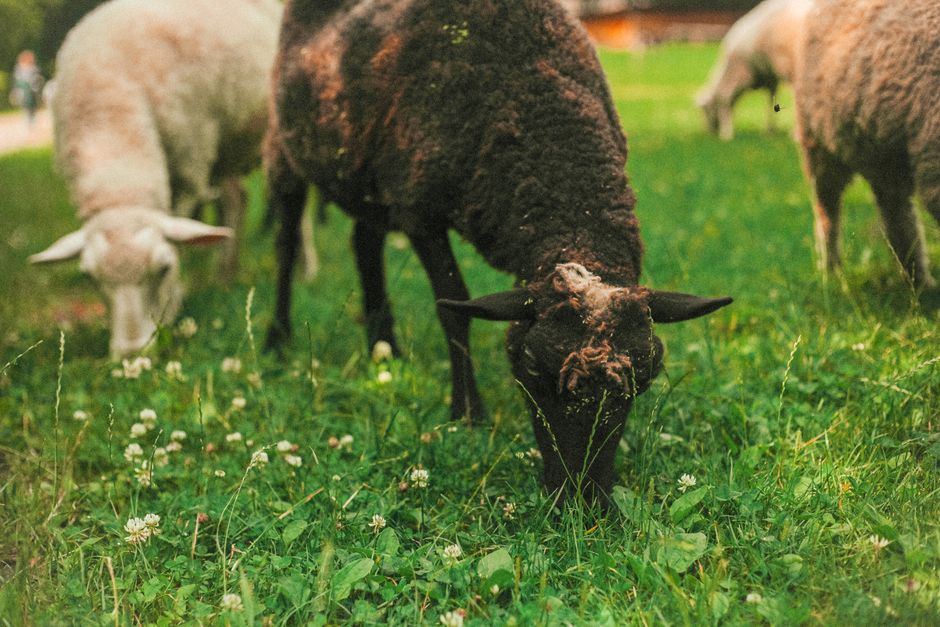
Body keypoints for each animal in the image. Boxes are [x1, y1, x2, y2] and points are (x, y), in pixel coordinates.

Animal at [28, 0, 283, 358]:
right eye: (89, 277)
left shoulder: (188, 169)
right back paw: (224, 275)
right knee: (236, 201)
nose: (132, 353)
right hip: (222, 151)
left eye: (163, 268)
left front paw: (172, 303)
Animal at [265, 0, 732, 502]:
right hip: (284, 147)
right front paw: (467, 413)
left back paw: (384, 351)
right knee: (286, 243)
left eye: (644, 378)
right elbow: (452, 305)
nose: (582, 499)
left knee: (364, 245)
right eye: (529, 367)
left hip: (364, 177)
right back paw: (277, 340)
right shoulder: (419, 210)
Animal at [696, 0, 813, 140]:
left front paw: (727, 133)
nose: (708, 132)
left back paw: (796, 134)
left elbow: (726, 98)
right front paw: (770, 130)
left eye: (705, 110)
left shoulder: (740, 73)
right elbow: (771, 99)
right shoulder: (769, 76)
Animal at [795, 0, 940, 290]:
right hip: (818, 146)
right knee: (828, 211)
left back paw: (918, 281)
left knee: (896, 216)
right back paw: (831, 272)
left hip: (885, 157)